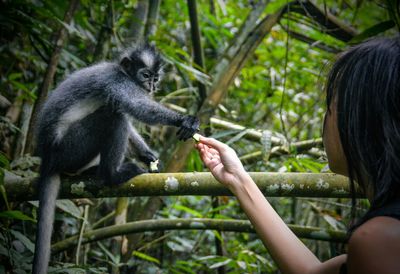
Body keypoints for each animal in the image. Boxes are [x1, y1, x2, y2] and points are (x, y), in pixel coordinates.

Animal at [32, 44, 200, 272]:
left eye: (155, 78)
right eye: (145, 75)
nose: (151, 86)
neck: (121, 71)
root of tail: (47, 158)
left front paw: (148, 156)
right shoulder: (116, 82)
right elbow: (137, 106)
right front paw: (184, 120)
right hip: (68, 149)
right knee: (112, 116)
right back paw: (112, 175)